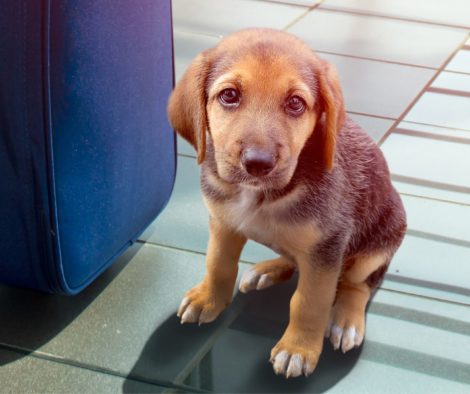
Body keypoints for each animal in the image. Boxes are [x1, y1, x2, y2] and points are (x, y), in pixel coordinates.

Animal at [167, 28, 406, 378]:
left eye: (295, 103)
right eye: (229, 95)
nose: (258, 163)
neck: (261, 195)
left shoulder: (326, 248)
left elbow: (309, 302)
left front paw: (298, 348)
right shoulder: (223, 223)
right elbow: (218, 264)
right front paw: (208, 298)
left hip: (381, 240)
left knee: (358, 283)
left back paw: (346, 319)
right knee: (294, 258)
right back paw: (268, 269)